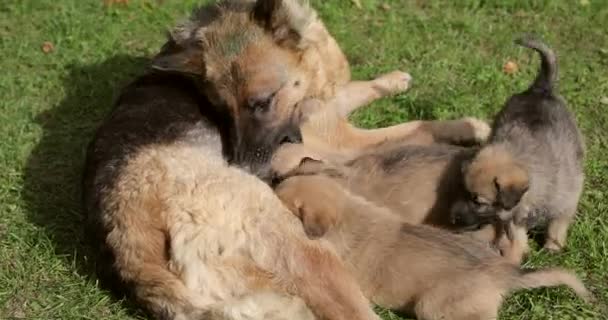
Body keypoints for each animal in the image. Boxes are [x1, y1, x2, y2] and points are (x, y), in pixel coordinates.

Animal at [460, 37, 584, 252]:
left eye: (478, 202)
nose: (453, 219)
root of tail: (540, 88)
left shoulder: (566, 201)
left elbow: (557, 226)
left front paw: (552, 248)